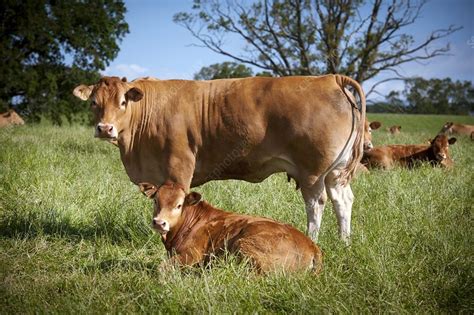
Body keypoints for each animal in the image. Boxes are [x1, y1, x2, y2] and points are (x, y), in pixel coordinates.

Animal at [73, 75, 366, 243]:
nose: (105, 128)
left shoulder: (179, 166)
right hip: (335, 173)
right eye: (93, 103)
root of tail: (330, 78)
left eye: (123, 102)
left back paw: (312, 239)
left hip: (313, 172)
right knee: (343, 201)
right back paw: (345, 241)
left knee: (317, 204)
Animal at [138, 183, 322, 274]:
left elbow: (162, 267)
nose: (159, 222)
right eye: (156, 201)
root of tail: (312, 245)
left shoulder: (192, 254)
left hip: (245, 245)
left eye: (179, 205)